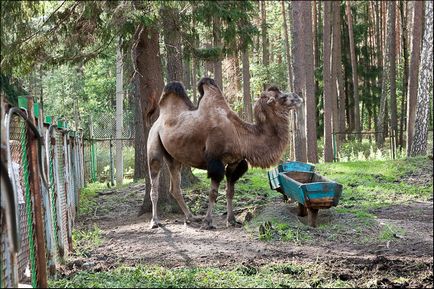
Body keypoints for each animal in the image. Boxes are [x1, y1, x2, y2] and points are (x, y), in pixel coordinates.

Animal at [146, 77, 302, 228]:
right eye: (282, 97)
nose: (298, 96)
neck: (240, 136)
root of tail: (158, 120)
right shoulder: (215, 160)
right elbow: (213, 193)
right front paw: (208, 222)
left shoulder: (234, 162)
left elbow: (230, 192)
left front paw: (231, 220)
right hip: (154, 141)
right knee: (154, 180)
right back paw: (155, 221)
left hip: (174, 157)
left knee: (175, 187)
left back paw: (191, 217)